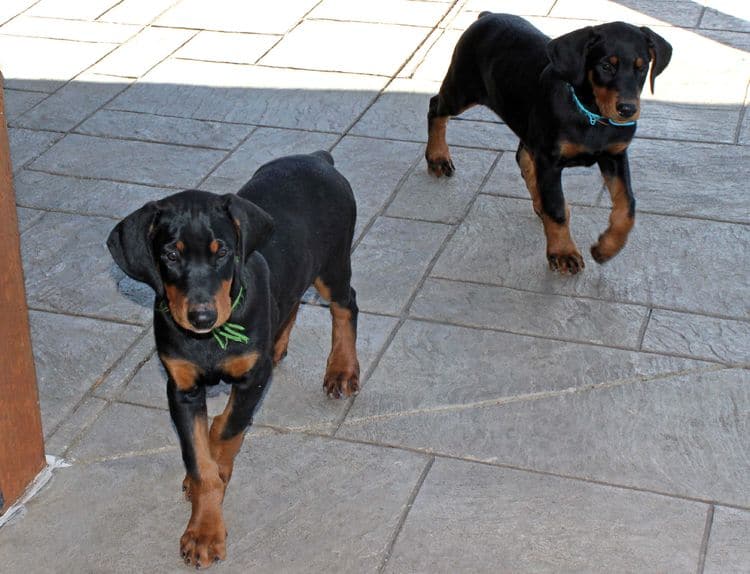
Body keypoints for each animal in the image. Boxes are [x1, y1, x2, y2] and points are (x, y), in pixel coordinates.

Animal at [107, 151, 362, 568]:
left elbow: (227, 429)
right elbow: (200, 461)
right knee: (290, 300)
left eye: (222, 251)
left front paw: (209, 518)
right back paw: (279, 342)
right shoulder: (181, 389)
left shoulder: (252, 379)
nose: (201, 317)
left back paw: (341, 369)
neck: (212, 339)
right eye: (170, 254)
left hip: (333, 264)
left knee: (346, 304)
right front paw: (202, 519)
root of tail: (316, 157)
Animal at [428, 13, 676, 274]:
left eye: (642, 67)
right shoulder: (550, 160)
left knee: (523, 156)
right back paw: (437, 157)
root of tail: (486, 15)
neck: (590, 115)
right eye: (606, 66)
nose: (628, 110)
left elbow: (627, 205)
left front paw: (606, 248)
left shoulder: (615, 155)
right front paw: (563, 253)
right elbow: (556, 209)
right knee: (436, 108)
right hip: (461, 91)